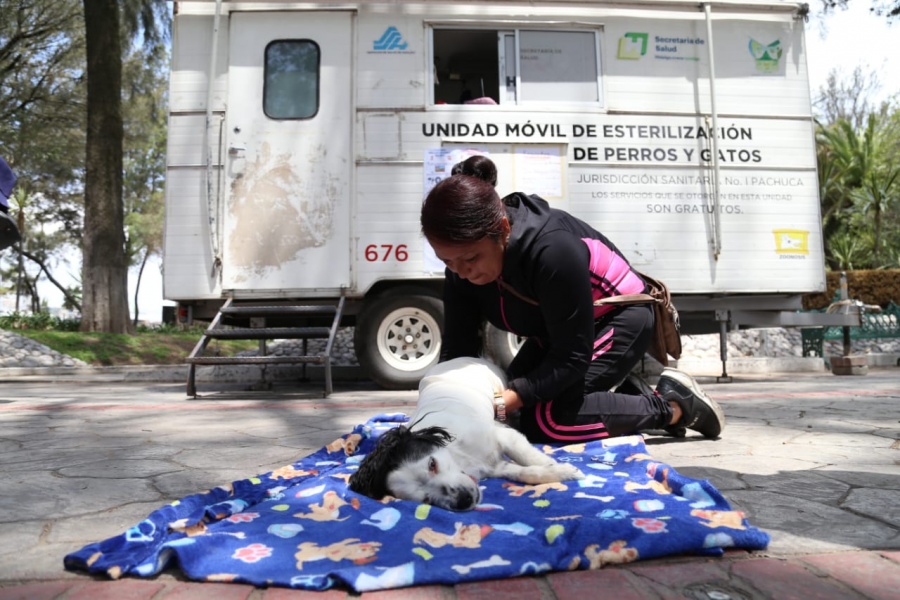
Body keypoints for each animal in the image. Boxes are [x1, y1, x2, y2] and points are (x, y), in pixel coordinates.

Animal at [344, 356, 584, 510]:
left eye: (432, 464)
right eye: (426, 499)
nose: (463, 499)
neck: (460, 457)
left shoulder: (502, 436)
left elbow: (529, 457)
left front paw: (560, 468)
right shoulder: (494, 467)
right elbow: (524, 473)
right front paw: (559, 473)